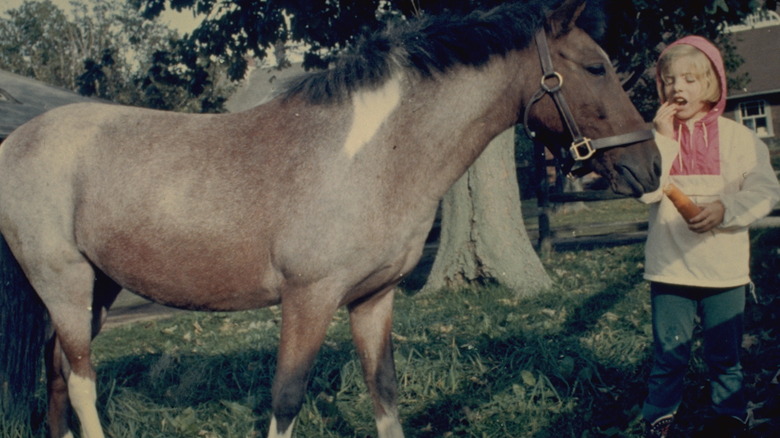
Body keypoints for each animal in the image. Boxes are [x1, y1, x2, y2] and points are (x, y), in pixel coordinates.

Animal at [0, 0, 660, 438]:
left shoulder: (372, 300)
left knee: (56, 376)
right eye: (596, 68)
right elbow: (287, 400)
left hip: (96, 290)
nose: (650, 164)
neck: (367, 155)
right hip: (64, 285)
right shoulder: (308, 300)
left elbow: (385, 395)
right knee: (81, 383)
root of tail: (18, 141)